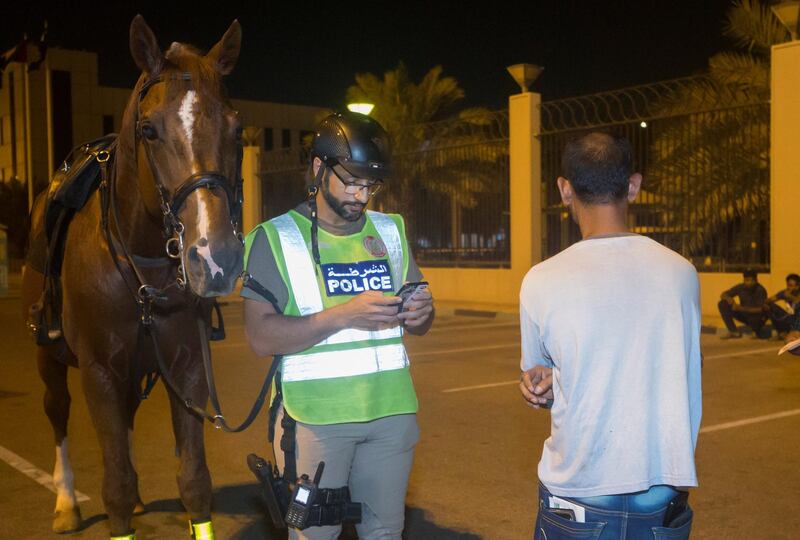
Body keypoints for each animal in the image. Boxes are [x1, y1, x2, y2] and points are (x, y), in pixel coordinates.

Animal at [23, 14, 245, 536]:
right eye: (148, 129)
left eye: (236, 127)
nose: (214, 256)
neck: (141, 268)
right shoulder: (100, 372)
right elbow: (116, 488)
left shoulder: (186, 367)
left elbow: (194, 482)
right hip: (50, 356)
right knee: (57, 412)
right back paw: (66, 502)